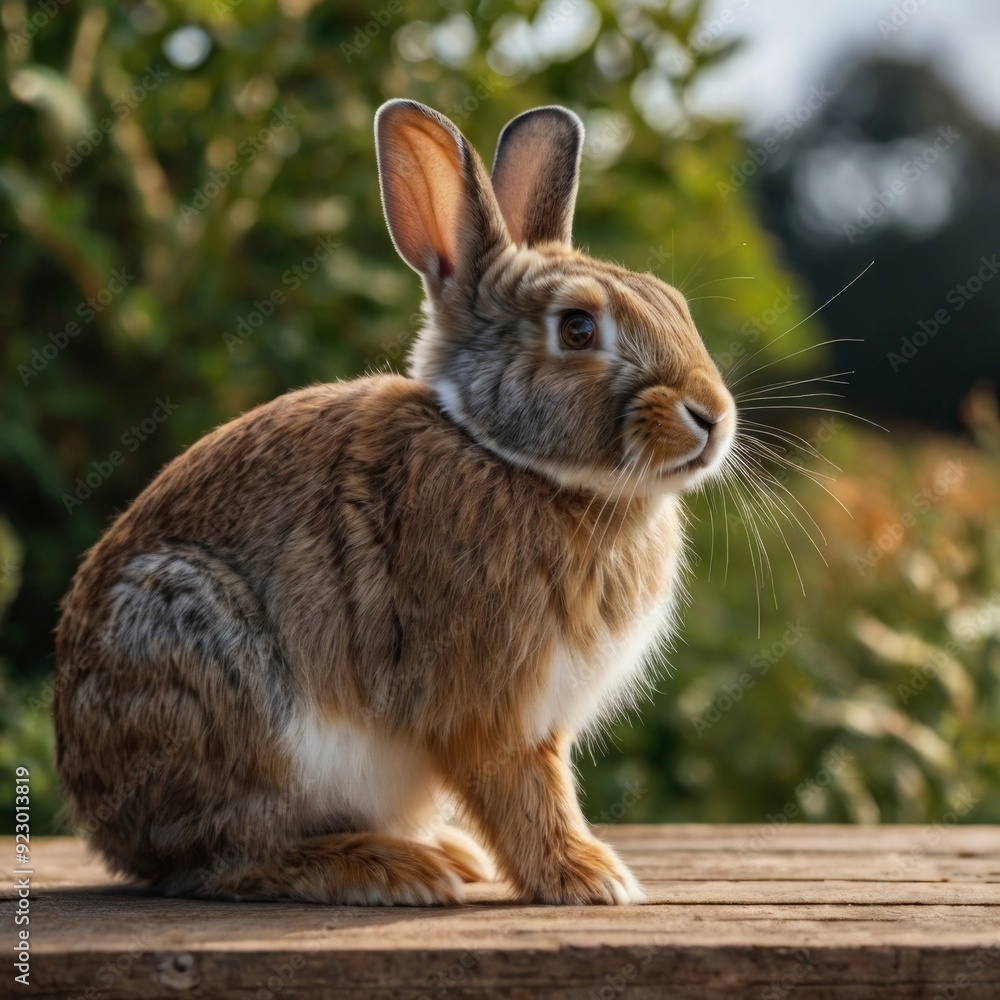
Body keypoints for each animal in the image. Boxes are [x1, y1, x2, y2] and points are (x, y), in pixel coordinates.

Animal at [54, 99, 736, 906]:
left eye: (677, 306)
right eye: (576, 328)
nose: (712, 415)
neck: (506, 456)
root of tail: (102, 816)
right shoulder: (492, 703)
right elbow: (524, 789)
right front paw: (588, 877)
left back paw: (440, 852)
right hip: (209, 668)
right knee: (221, 858)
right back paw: (391, 867)